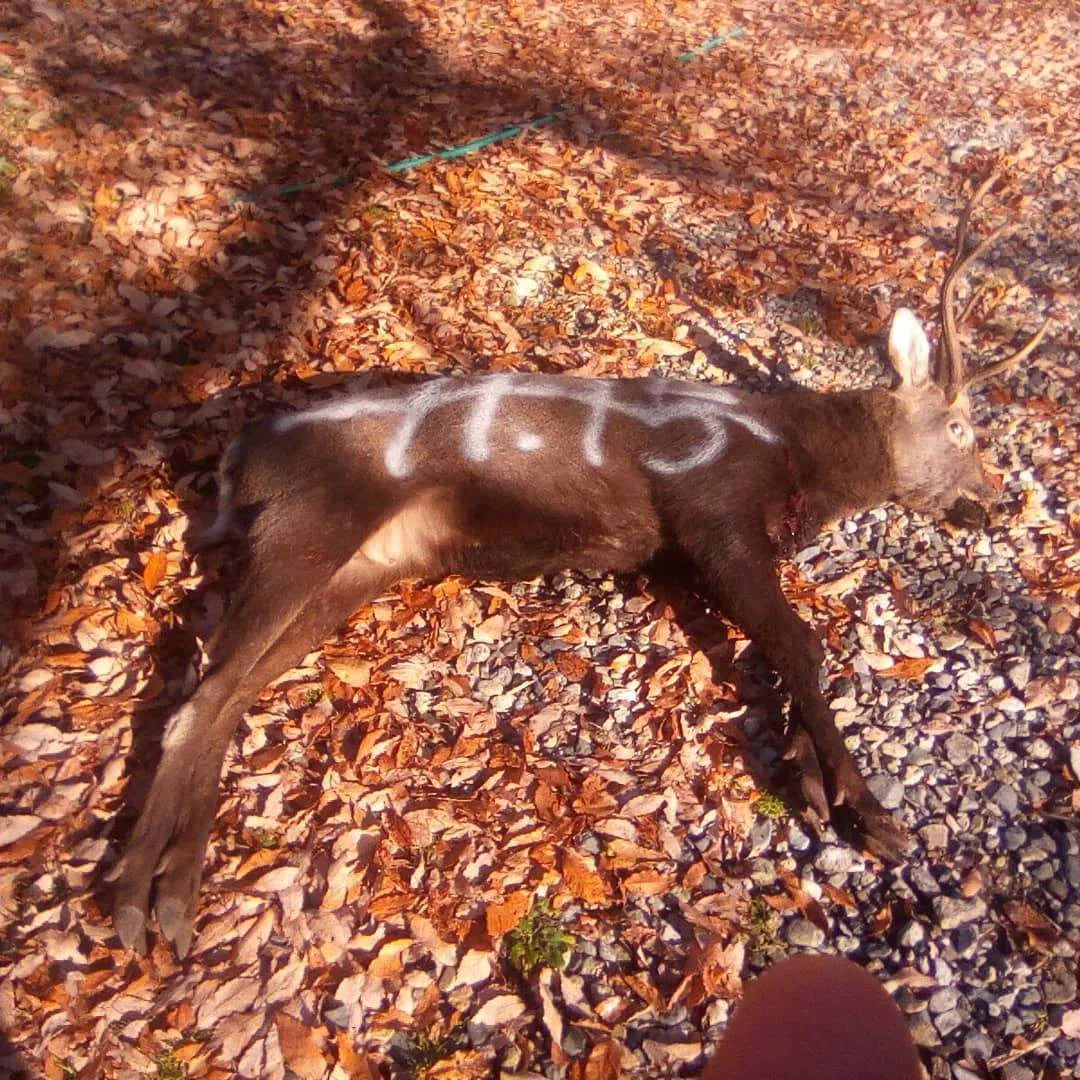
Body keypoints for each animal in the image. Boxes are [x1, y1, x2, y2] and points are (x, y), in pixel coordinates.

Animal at [108, 174, 1050, 956]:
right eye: (963, 428)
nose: (998, 501)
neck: (798, 461)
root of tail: (240, 457)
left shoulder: (689, 553)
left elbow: (780, 652)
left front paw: (816, 781)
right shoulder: (710, 508)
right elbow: (801, 644)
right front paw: (867, 810)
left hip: (358, 565)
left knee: (229, 691)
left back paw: (168, 890)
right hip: (312, 524)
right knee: (201, 695)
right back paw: (143, 902)